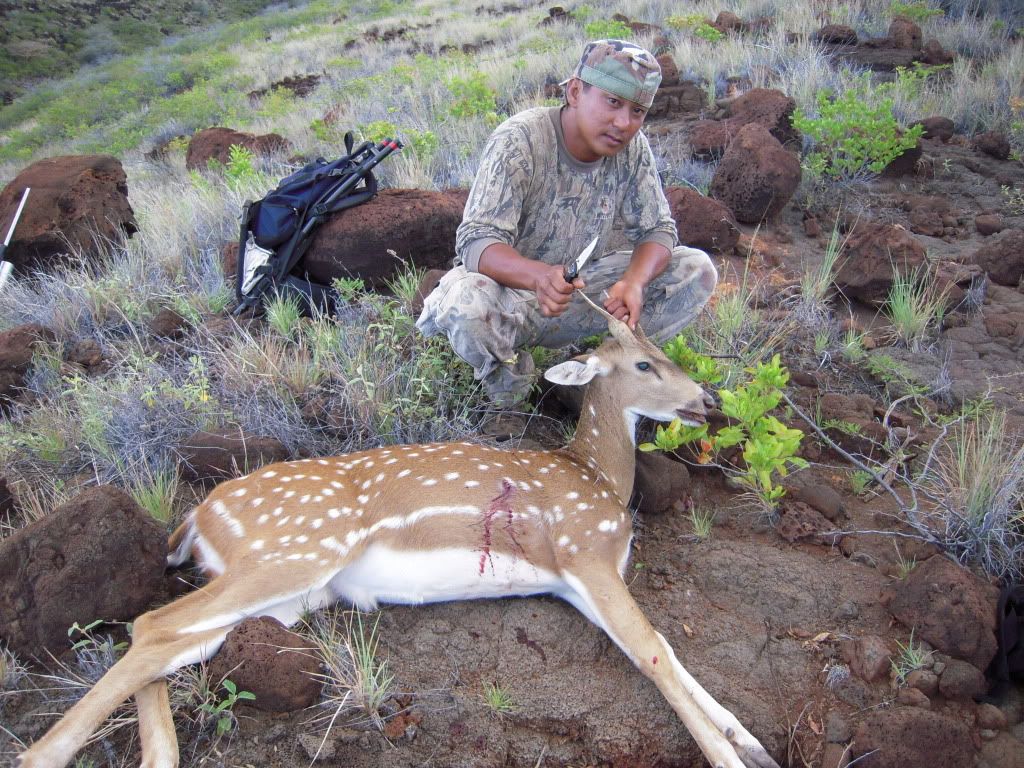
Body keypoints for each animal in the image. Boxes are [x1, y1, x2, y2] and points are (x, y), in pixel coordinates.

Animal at [17, 305, 780, 768]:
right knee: (151, 624)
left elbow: (665, 649)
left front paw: (749, 736)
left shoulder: (576, 580)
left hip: (287, 593)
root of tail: (196, 519)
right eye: (645, 365)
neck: (595, 477)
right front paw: (731, 756)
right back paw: (43, 754)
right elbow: (652, 653)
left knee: (168, 640)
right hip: (292, 551)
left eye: (665, 352)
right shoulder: (582, 550)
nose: (708, 399)